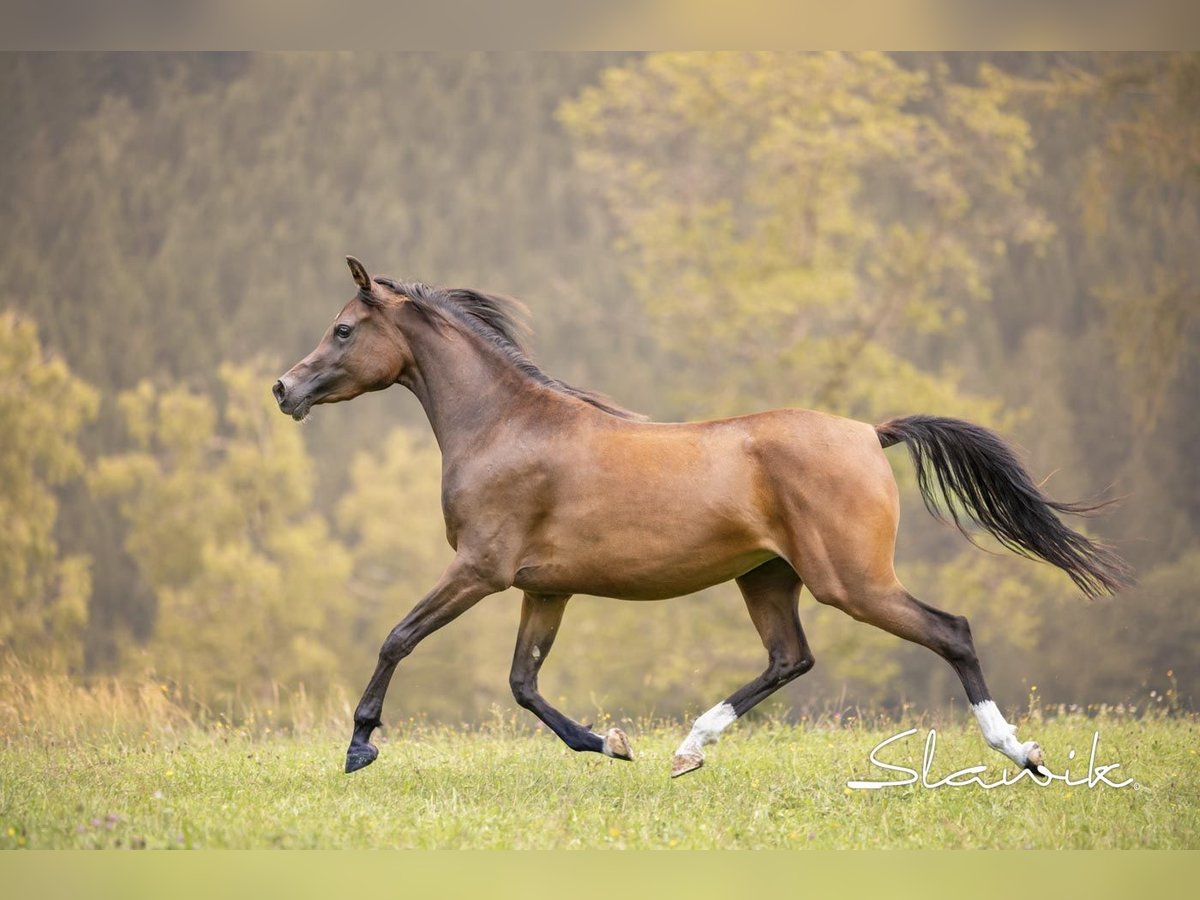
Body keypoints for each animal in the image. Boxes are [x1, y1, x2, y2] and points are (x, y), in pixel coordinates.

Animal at [274, 256, 1132, 777]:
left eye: (343, 330)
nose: (284, 389)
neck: (506, 426)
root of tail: (868, 431)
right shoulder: (544, 587)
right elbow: (523, 682)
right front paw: (608, 743)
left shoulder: (479, 569)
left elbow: (399, 637)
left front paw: (358, 745)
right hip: (769, 578)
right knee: (790, 659)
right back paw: (690, 746)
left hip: (851, 581)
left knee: (950, 631)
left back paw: (1020, 754)